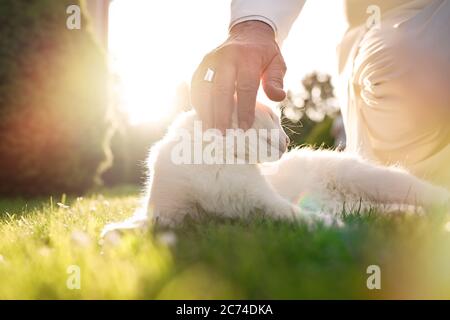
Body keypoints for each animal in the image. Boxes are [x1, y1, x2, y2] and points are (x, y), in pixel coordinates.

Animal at [103, 104, 450, 234]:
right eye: (272, 118)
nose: (287, 140)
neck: (215, 158)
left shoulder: (266, 202)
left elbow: (298, 216)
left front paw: (330, 227)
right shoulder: (169, 213)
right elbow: (138, 225)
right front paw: (114, 234)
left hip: (378, 180)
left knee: (430, 194)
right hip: (364, 204)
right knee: (397, 211)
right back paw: (405, 218)